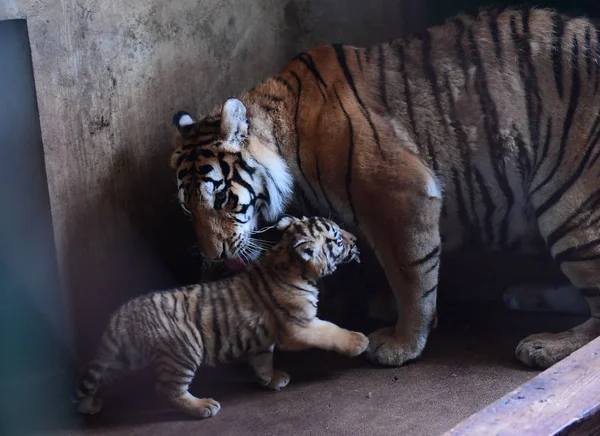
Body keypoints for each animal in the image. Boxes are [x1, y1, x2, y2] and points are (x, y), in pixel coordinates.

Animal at [169, 6, 600, 368]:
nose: (215, 256)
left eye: (220, 197)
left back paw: (544, 346)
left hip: (569, 203)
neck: (285, 135)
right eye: (188, 208)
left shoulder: (401, 194)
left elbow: (410, 274)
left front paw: (402, 343)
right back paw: (524, 294)